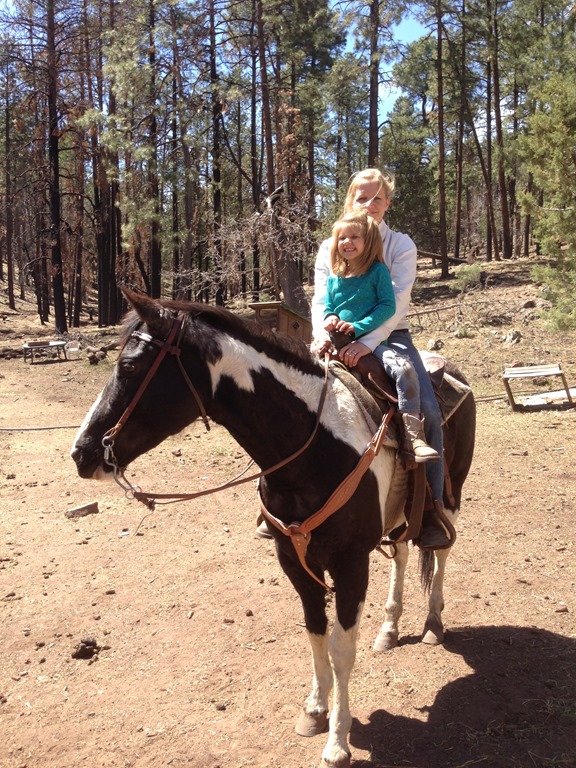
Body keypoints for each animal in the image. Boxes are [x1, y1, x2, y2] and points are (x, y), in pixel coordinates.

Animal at [71, 288, 476, 768]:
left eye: (130, 367)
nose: (81, 452)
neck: (312, 447)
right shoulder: (292, 560)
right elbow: (315, 630)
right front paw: (314, 711)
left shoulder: (351, 564)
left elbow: (341, 649)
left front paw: (337, 743)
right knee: (402, 552)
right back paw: (389, 630)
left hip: (451, 493)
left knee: (439, 549)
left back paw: (432, 622)